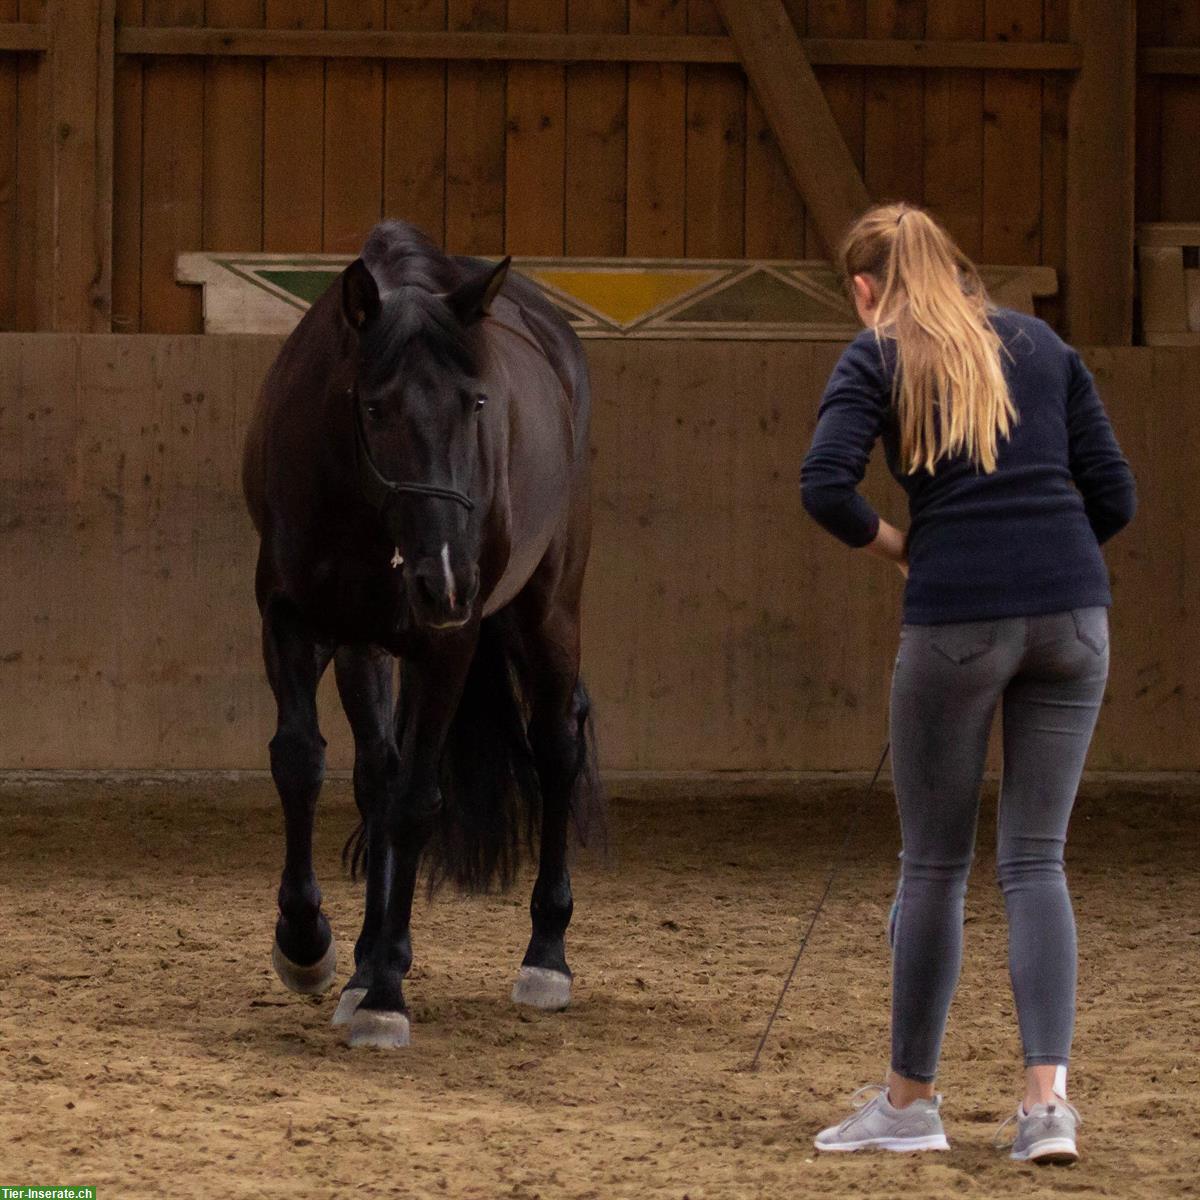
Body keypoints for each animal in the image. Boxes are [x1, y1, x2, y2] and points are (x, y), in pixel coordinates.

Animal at [241, 225, 600, 1051]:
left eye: (477, 402)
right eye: (375, 407)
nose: (446, 579)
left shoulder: (447, 645)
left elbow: (415, 800)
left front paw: (385, 995)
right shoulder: (295, 620)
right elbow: (303, 763)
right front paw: (309, 945)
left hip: (547, 610)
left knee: (555, 746)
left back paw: (545, 956)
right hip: (371, 645)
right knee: (377, 770)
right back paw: (362, 961)